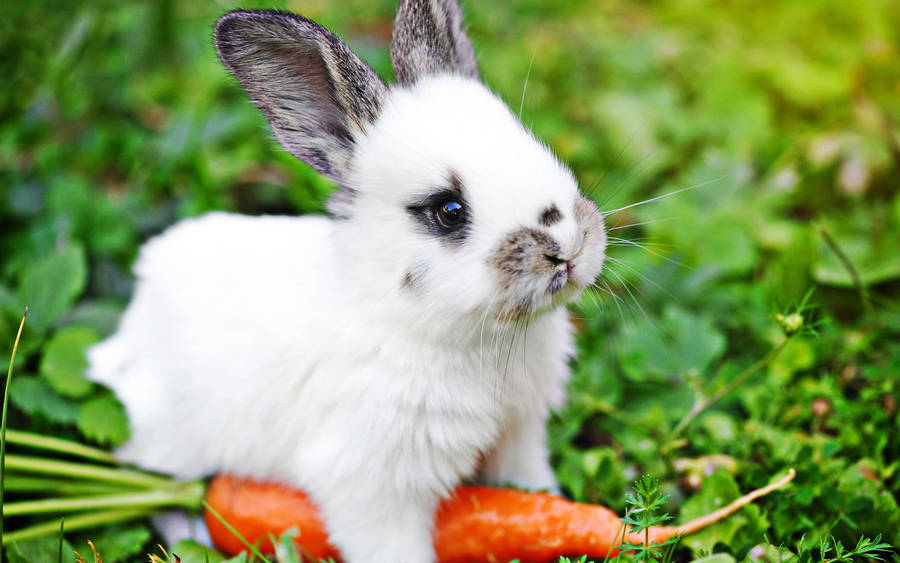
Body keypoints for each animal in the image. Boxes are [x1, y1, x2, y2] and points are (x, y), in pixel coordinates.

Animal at [88, 1, 608, 563]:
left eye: (536, 149)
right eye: (449, 210)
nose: (569, 248)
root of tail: (130, 330)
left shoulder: (519, 435)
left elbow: (531, 490)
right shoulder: (373, 488)